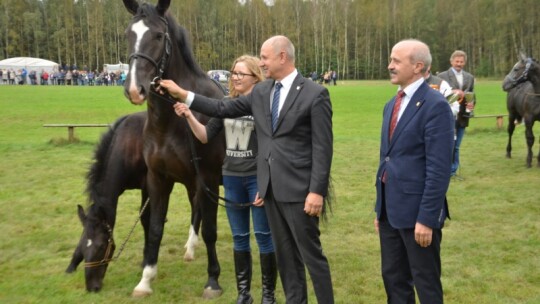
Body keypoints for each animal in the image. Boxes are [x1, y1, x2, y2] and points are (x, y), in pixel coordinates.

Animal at [66, 112, 205, 292]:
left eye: (102, 246)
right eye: (83, 247)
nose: (92, 287)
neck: (128, 143)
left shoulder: (149, 186)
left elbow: (146, 220)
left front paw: (146, 261)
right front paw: (71, 265)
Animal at [121, 0, 225, 300]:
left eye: (158, 36)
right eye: (128, 34)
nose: (135, 89)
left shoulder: (208, 179)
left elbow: (211, 230)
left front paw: (212, 280)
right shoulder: (158, 179)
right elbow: (156, 228)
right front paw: (145, 279)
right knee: (195, 210)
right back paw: (190, 248)